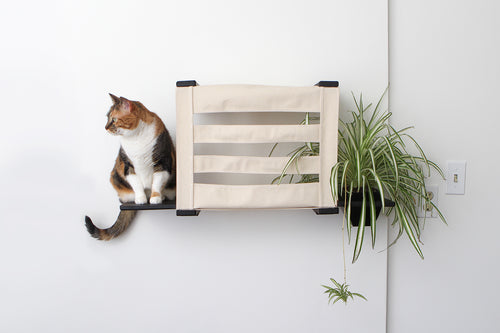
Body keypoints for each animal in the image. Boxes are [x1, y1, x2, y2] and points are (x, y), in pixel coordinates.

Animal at [86, 93, 178, 239]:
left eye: (114, 119)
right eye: (107, 118)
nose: (105, 127)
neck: (135, 138)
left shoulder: (163, 162)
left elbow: (157, 183)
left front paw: (155, 198)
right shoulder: (128, 166)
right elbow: (137, 184)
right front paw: (140, 199)